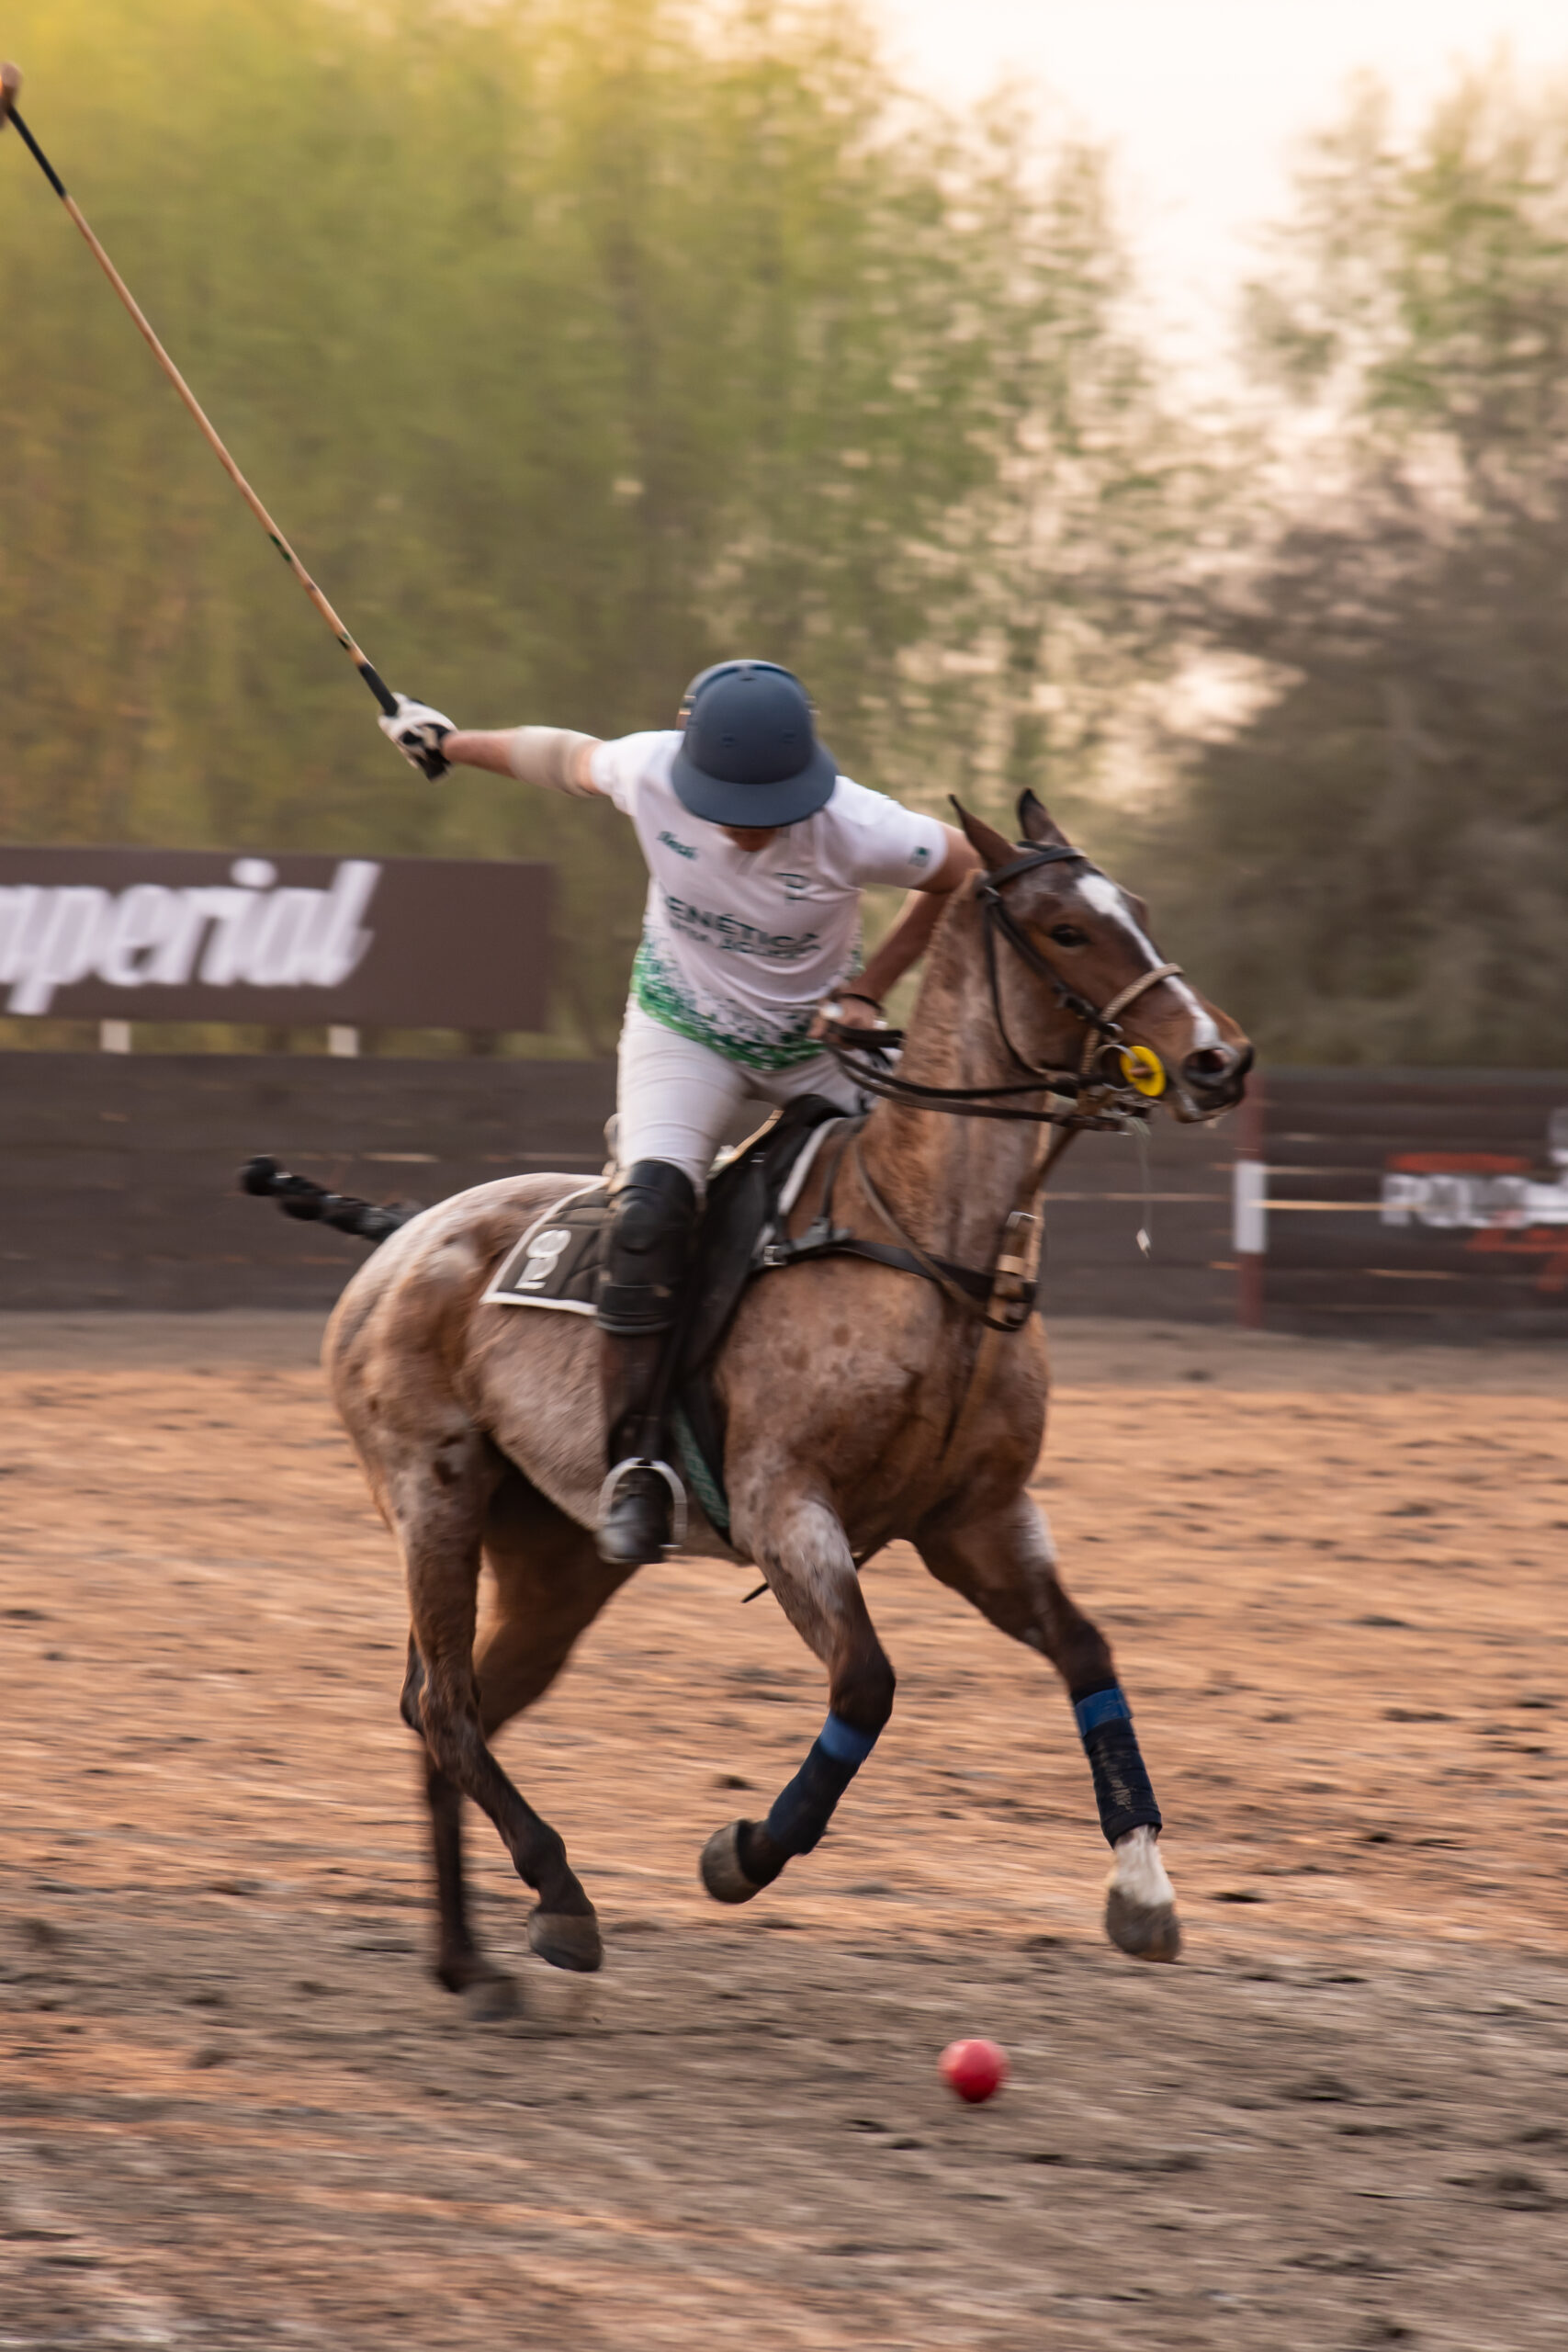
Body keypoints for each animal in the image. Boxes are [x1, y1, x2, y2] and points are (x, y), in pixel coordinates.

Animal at [329, 790, 1250, 2004]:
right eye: (1066, 929)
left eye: (1135, 905)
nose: (1220, 1058)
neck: (931, 1248)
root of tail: (400, 1239)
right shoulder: (785, 1508)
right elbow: (865, 1684)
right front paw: (743, 1852)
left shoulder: (979, 1518)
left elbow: (1090, 1653)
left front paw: (1142, 1890)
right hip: (433, 1494)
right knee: (444, 1702)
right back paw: (560, 1896)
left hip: (555, 1559)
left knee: (452, 1705)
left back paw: (468, 1958)